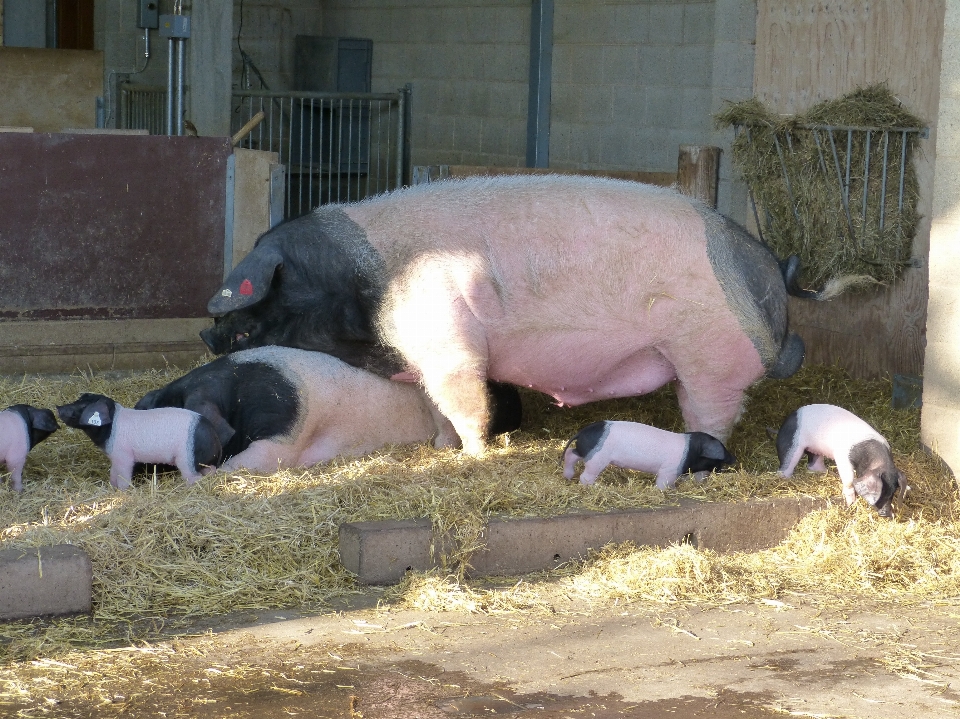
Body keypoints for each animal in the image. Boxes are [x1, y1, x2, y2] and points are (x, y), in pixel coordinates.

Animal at [204, 176, 808, 456]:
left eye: (266, 300)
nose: (208, 335)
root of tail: (769, 278)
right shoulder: (423, 358)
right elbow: (438, 408)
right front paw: (442, 448)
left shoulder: (450, 343)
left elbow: (467, 400)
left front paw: (474, 454)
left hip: (709, 354)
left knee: (712, 412)